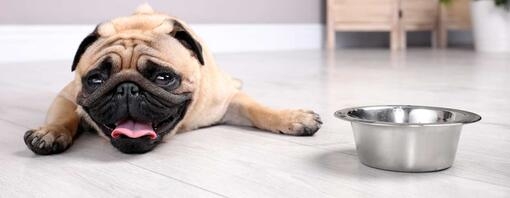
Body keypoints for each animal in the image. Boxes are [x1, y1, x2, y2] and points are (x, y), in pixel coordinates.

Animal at [23, 3, 322, 154]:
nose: (127, 89)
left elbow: (258, 109)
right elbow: (65, 116)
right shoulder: (67, 95)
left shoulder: (226, 102)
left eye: (164, 77)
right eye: (95, 80)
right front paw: (50, 132)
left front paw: (292, 118)